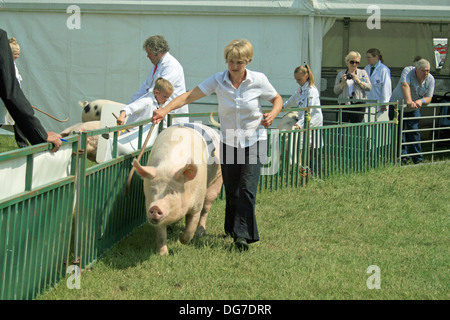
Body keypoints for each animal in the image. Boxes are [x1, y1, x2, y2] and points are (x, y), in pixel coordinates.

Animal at [134, 124, 225, 256]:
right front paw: (163, 254)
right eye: (153, 189)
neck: (169, 165)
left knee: (206, 207)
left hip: (217, 179)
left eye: (172, 191)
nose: (155, 208)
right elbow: (161, 234)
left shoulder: (197, 202)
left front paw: (182, 240)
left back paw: (200, 233)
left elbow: (192, 223)